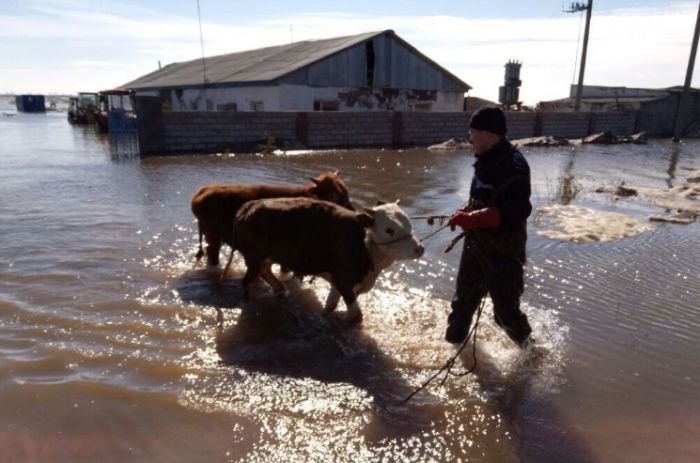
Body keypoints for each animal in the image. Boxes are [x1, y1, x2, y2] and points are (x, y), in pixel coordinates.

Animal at [190, 173, 350, 268]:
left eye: (346, 192)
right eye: (332, 195)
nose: (351, 210)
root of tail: (202, 191)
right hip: (213, 234)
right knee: (212, 252)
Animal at [232, 198, 424, 324]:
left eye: (409, 224)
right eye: (389, 230)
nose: (420, 248)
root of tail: (249, 206)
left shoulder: (340, 283)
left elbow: (330, 306)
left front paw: (324, 316)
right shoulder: (344, 282)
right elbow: (356, 315)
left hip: (265, 258)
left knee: (265, 272)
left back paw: (281, 290)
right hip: (254, 257)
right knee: (248, 281)